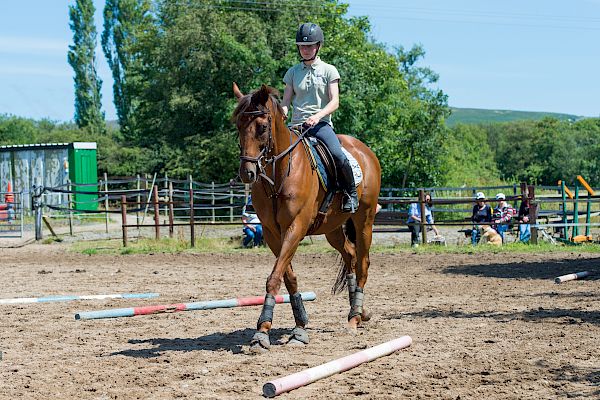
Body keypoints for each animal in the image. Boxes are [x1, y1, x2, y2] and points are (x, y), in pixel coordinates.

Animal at [232, 83, 382, 352]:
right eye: (238, 125)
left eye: (262, 127)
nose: (247, 172)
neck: (279, 174)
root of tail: (365, 151)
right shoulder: (272, 232)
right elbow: (287, 275)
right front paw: (299, 325)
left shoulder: (296, 227)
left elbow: (274, 277)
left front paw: (262, 332)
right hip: (332, 228)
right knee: (351, 256)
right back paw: (360, 310)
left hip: (364, 220)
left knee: (363, 263)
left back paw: (355, 318)